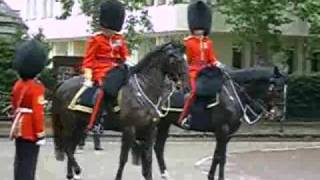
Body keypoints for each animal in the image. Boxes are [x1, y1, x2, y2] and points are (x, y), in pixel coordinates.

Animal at [50, 42, 188, 180]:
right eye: (176, 60)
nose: (185, 85)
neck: (145, 90)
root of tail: (63, 83)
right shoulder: (129, 129)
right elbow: (124, 158)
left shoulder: (149, 129)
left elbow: (148, 157)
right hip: (70, 124)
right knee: (67, 146)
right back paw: (77, 170)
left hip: (80, 125)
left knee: (71, 147)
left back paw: (71, 174)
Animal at [149, 66, 288, 180]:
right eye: (278, 89)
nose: (279, 114)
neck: (233, 95)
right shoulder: (222, 130)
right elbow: (220, 158)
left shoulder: (227, 134)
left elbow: (219, 156)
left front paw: (211, 176)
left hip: (165, 124)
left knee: (158, 148)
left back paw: (165, 174)